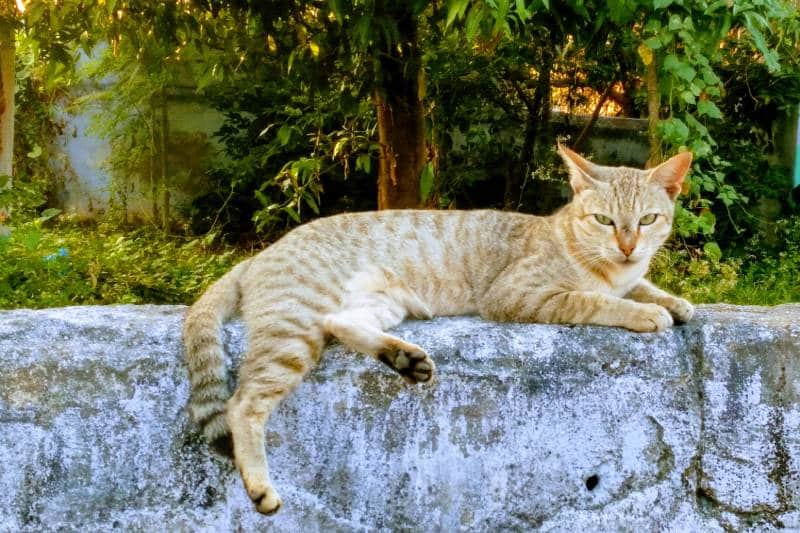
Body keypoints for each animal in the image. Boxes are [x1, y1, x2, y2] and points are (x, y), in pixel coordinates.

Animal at [181, 143, 692, 512]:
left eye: (647, 219)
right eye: (604, 220)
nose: (627, 245)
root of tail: (258, 255)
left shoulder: (629, 273)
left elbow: (643, 285)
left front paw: (674, 301)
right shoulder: (518, 294)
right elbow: (595, 300)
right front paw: (645, 312)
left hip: (378, 302)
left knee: (341, 321)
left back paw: (404, 358)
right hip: (293, 331)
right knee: (243, 404)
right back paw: (259, 484)